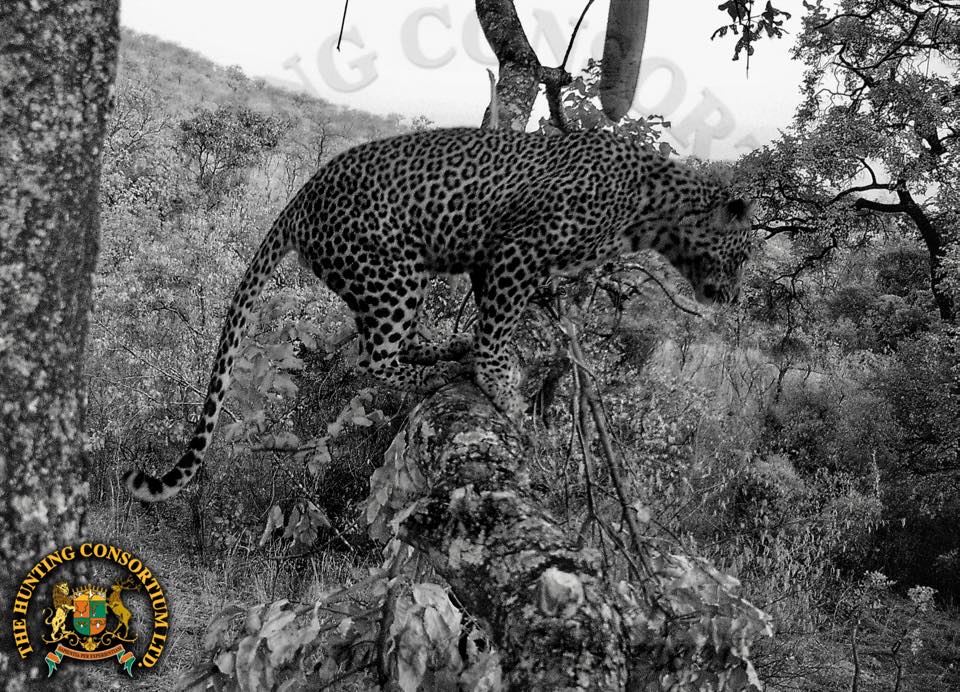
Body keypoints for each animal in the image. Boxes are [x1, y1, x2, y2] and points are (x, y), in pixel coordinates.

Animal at [124, 127, 754, 502]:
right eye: (745, 254)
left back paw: (446, 351)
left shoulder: (493, 259)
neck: (653, 211)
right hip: (391, 270)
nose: (734, 297)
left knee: (384, 342)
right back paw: (439, 369)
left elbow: (495, 318)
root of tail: (301, 195)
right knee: (375, 355)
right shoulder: (516, 250)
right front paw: (503, 389)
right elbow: (497, 331)